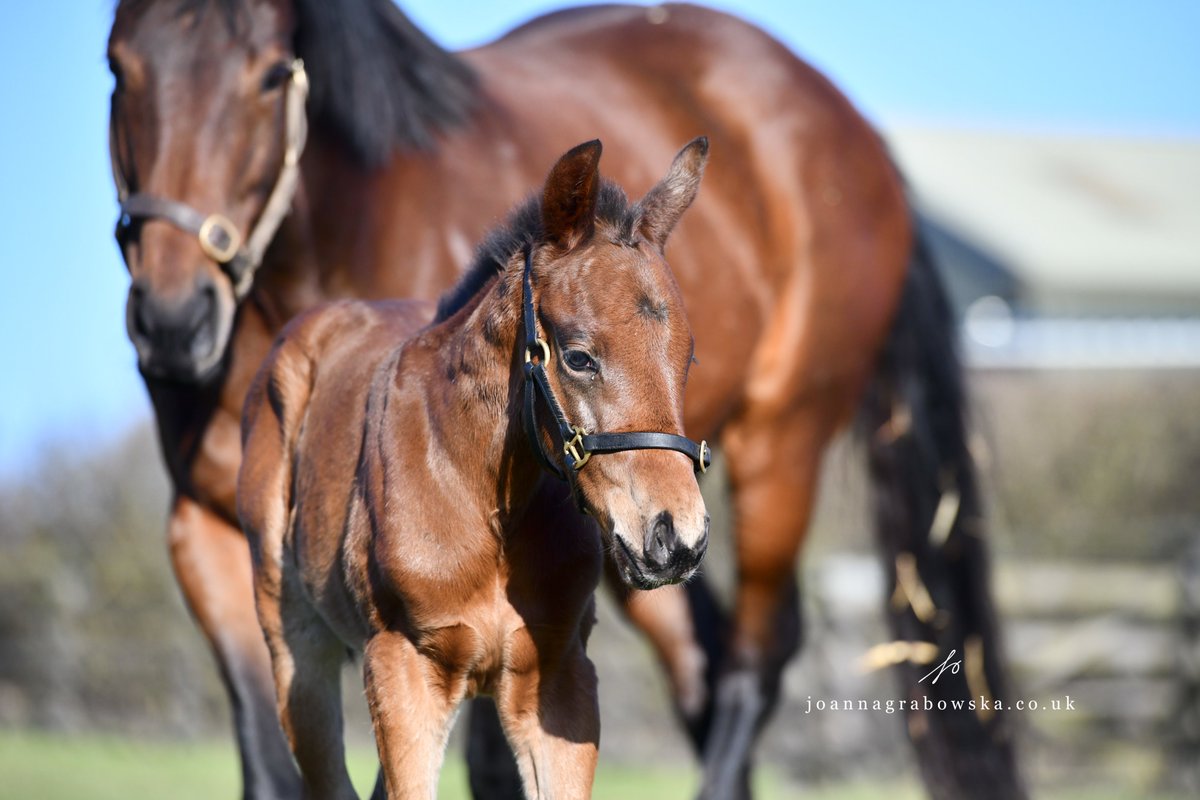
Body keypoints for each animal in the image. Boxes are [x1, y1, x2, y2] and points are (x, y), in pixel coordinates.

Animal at [238, 138, 711, 799]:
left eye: (686, 357)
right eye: (579, 357)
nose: (676, 538)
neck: (483, 504)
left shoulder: (559, 678)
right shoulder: (402, 668)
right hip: (295, 652)